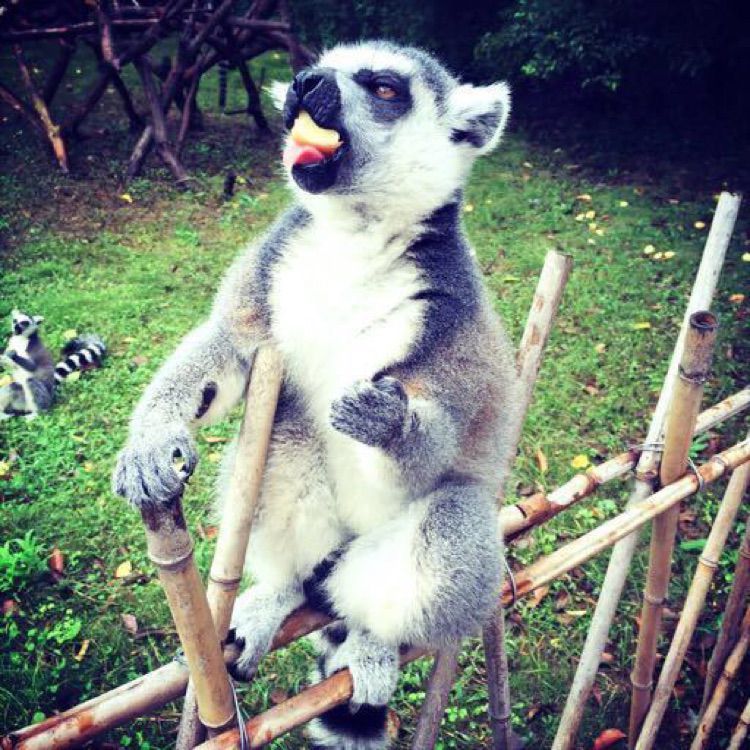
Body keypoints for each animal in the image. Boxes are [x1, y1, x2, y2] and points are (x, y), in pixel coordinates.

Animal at [113, 41, 518, 749]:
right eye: (318, 67)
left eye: (384, 87)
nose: (305, 82)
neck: (355, 239)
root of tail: (338, 566)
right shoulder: (273, 267)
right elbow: (233, 347)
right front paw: (152, 441)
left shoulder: (451, 314)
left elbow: (437, 444)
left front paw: (389, 424)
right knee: (285, 438)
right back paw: (280, 592)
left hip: (385, 552)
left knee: (453, 524)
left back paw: (375, 643)